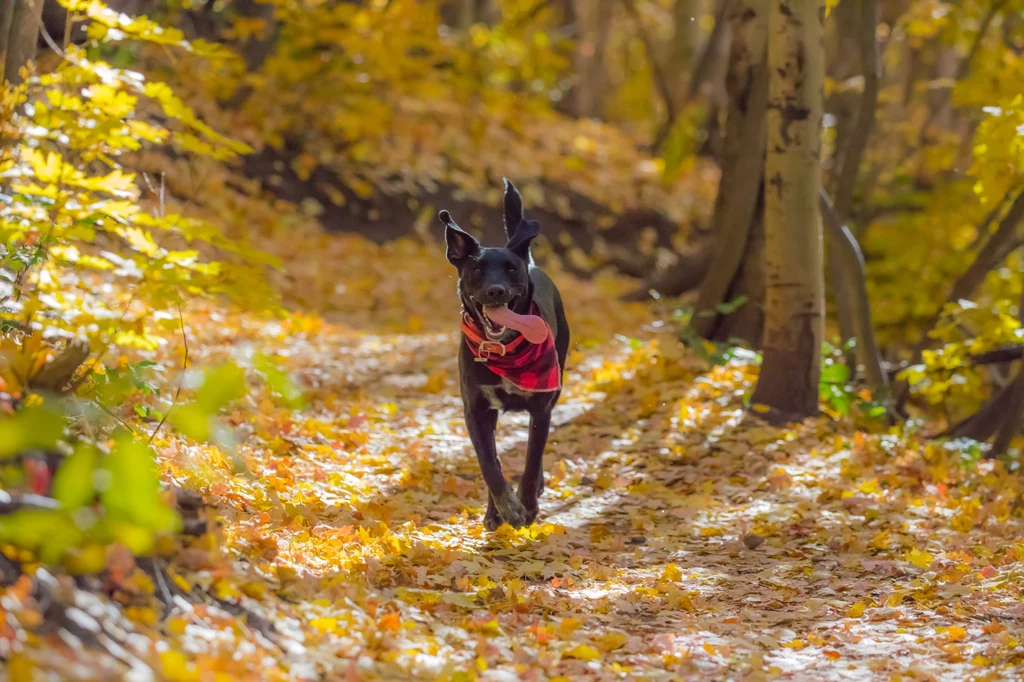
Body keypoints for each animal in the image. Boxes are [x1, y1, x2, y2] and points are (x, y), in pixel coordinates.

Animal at [438, 178, 573, 528]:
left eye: (511, 270)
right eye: (477, 270)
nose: (495, 291)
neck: (504, 349)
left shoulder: (541, 408)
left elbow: (530, 460)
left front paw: (527, 505)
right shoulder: (476, 410)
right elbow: (490, 464)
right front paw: (506, 507)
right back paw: (494, 512)